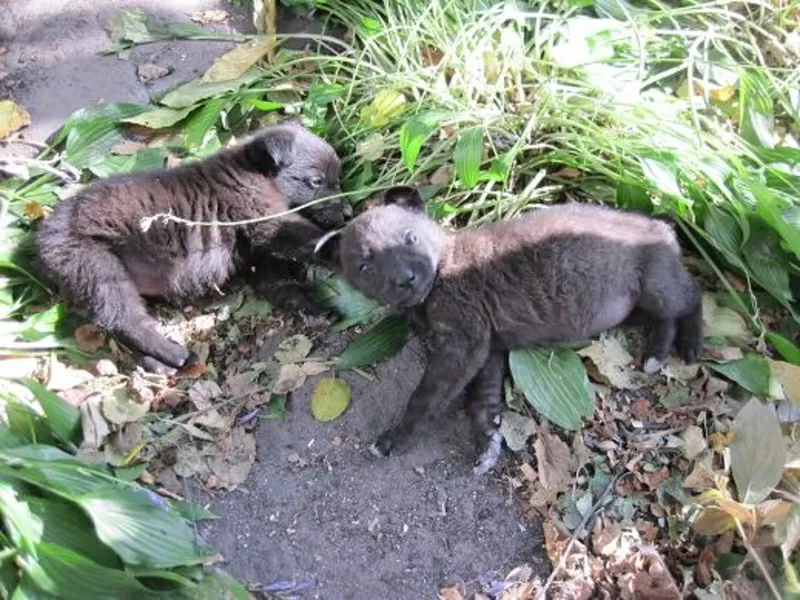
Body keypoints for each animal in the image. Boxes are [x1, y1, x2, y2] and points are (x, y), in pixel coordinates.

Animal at [36, 121, 350, 372]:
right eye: (316, 181)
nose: (348, 211)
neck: (254, 171)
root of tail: (43, 235)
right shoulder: (267, 223)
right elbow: (311, 238)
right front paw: (344, 243)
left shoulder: (261, 260)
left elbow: (284, 286)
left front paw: (312, 309)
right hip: (99, 271)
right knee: (126, 321)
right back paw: (175, 354)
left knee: (118, 328)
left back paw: (157, 364)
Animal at [316, 185, 704, 476]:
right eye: (365, 266)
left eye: (410, 237)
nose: (405, 280)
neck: (442, 269)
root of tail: (661, 224)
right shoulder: (487, 349)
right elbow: (483, 401)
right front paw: (488, 443)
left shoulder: (464, 344)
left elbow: (425, 396)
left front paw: (395, 438)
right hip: (633, 306)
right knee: (666, 317)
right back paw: (656, 353)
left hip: (654, 283)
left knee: (690, 297)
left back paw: (693, 343)